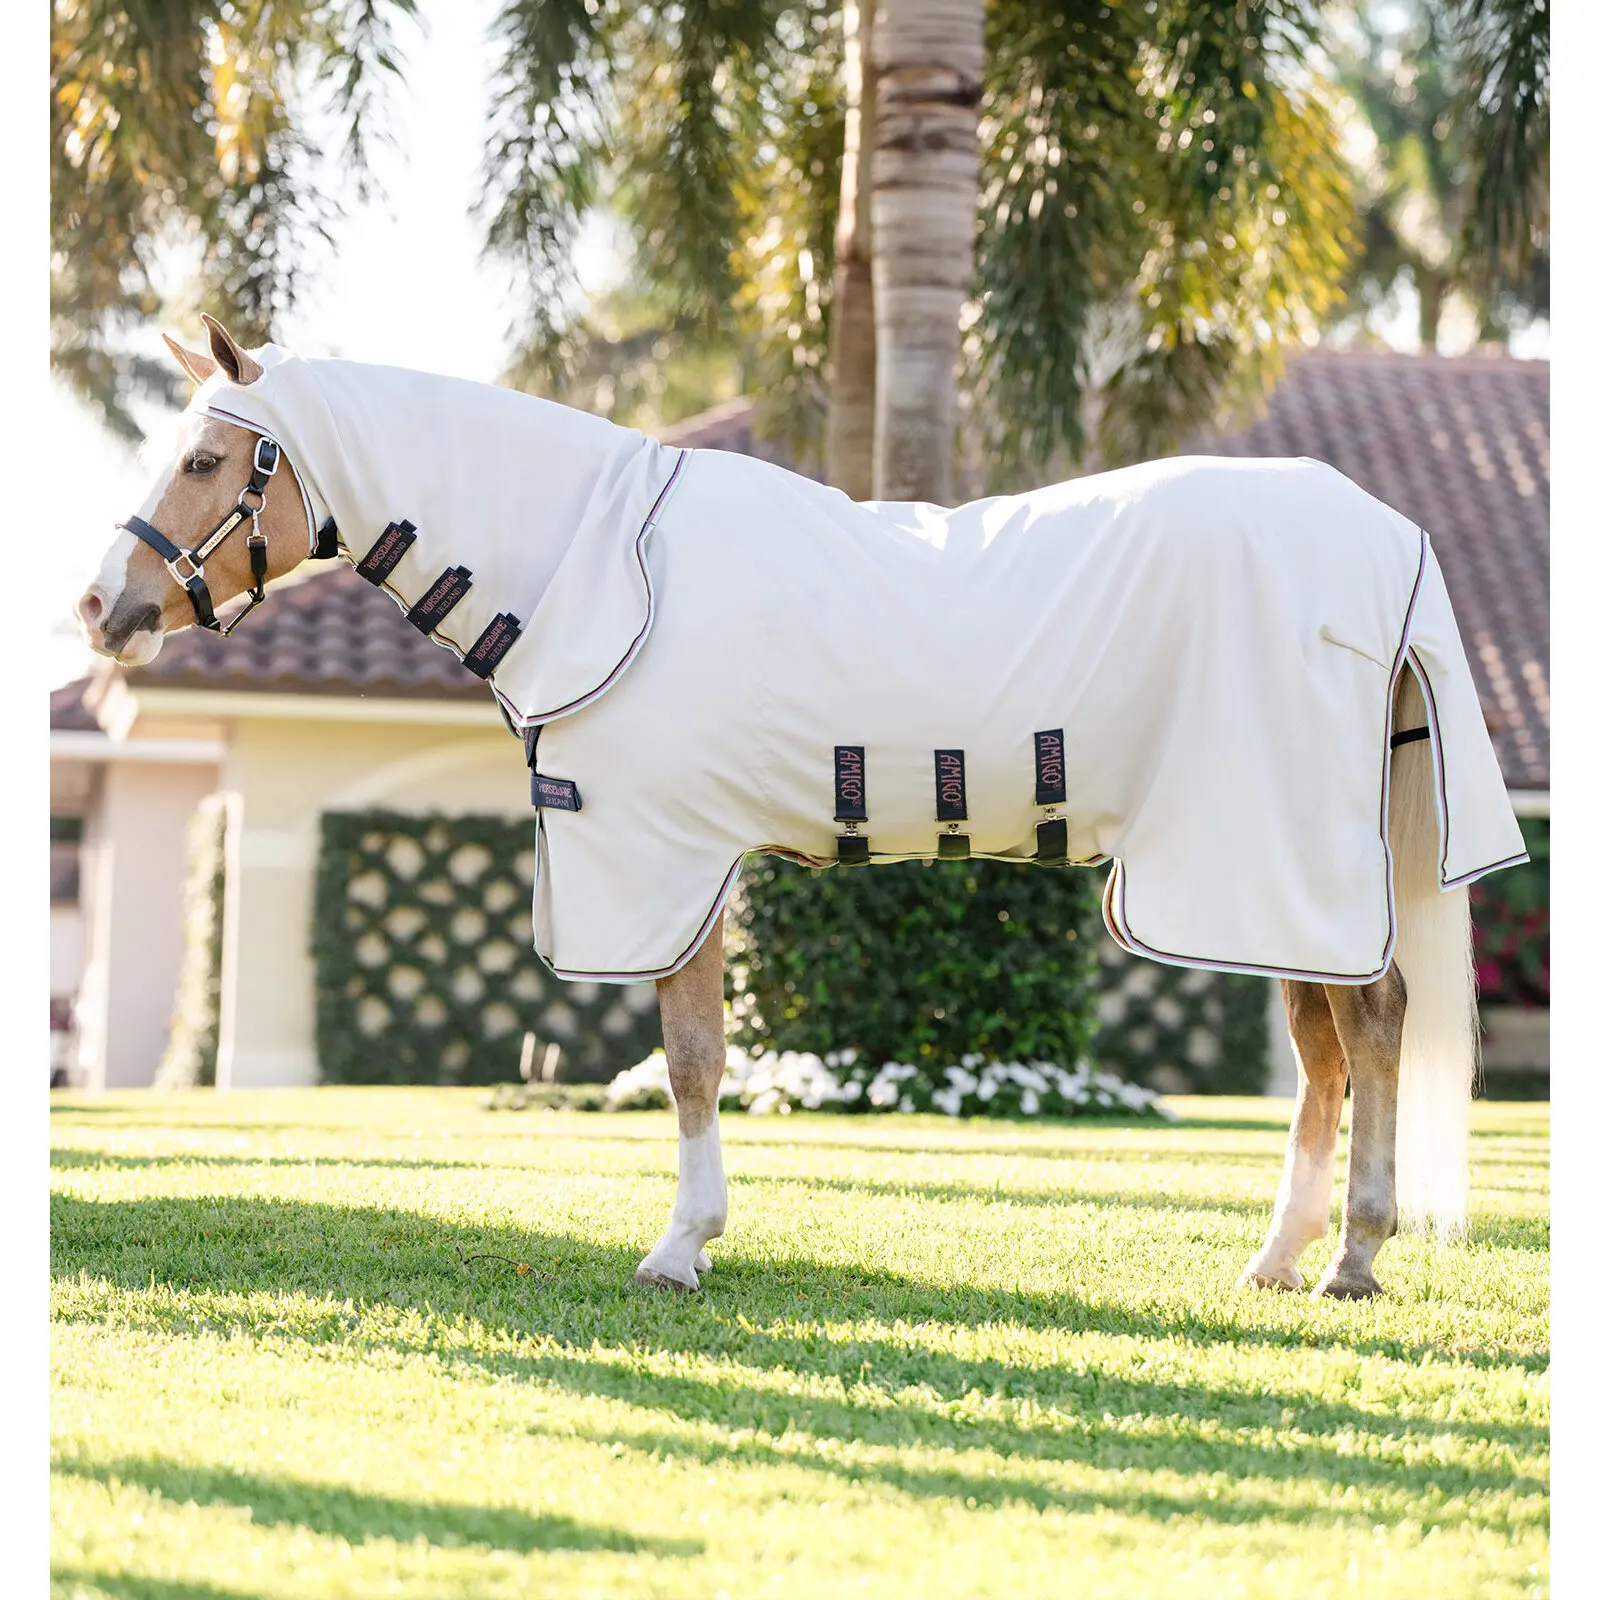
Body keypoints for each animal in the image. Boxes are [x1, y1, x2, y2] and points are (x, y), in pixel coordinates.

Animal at [76, 316, 1527, 1301]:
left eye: (206, 457)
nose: (103, 606)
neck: (603, 566)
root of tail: (1387, 539)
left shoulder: (668, 861)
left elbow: (691, 1057)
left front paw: (680, 1247)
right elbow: (697, 1054)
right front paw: (693, 1236)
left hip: (1272, 859)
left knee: (1373, 1029)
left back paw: (1351, 1258)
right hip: (1261, 872)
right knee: (1326, 1051)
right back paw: (1281, 1257)